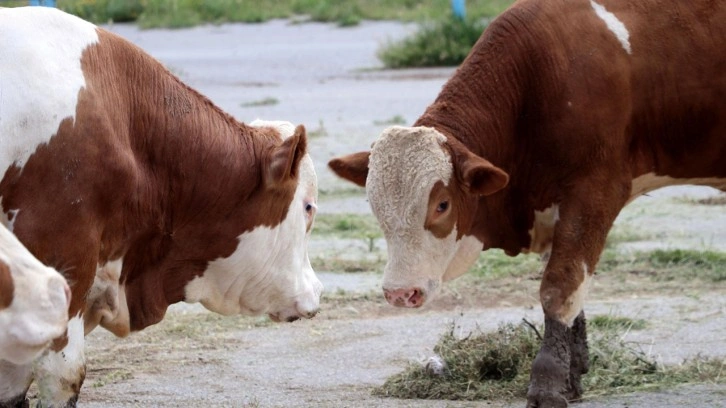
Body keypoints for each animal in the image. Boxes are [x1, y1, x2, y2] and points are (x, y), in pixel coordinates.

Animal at [332, 1, 726, 406]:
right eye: (374, 203)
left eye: (441, 205)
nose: (399, 293)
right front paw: (572, 376)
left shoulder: (594, 194)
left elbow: (559, 287)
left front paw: (547, 382)